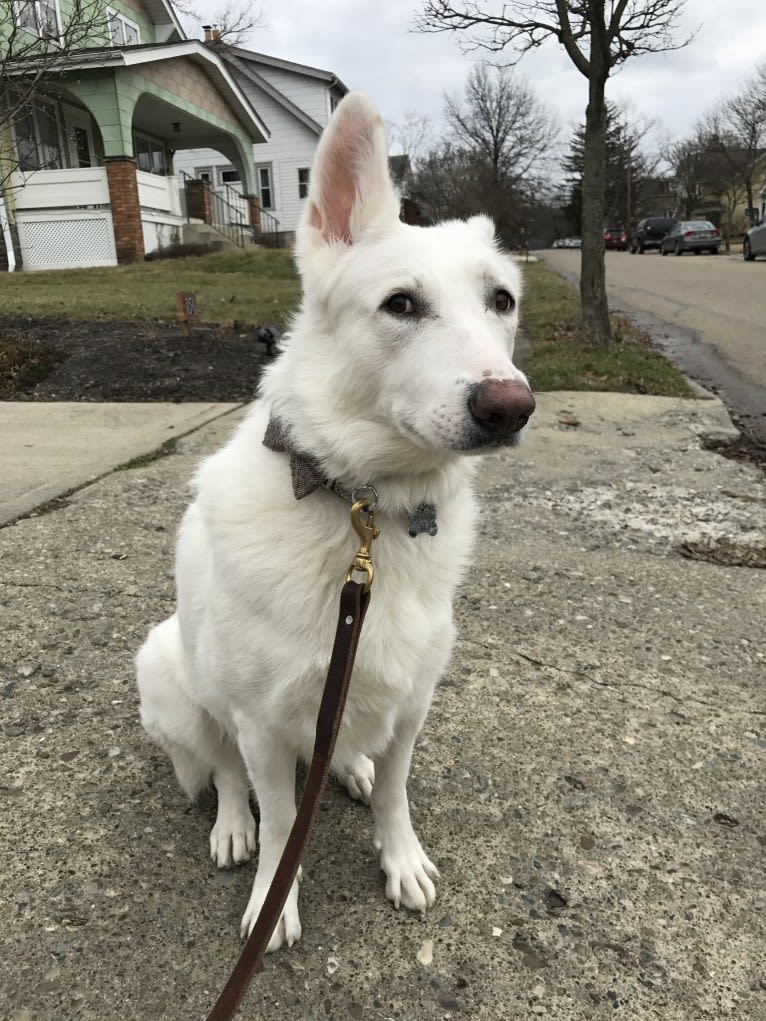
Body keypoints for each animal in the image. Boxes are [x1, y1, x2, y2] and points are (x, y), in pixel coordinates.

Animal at [136, 91, 535, 951]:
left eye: (501, 301)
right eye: (401, 304)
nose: (511, 406)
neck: (366, 513)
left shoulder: (413, 701)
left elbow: (395, 789)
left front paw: (399, 855)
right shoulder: (261, 722)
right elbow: (282, 819)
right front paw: (272, 898)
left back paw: (346, 766)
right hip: (170, 671)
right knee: (224, 770)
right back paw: (231, 824)